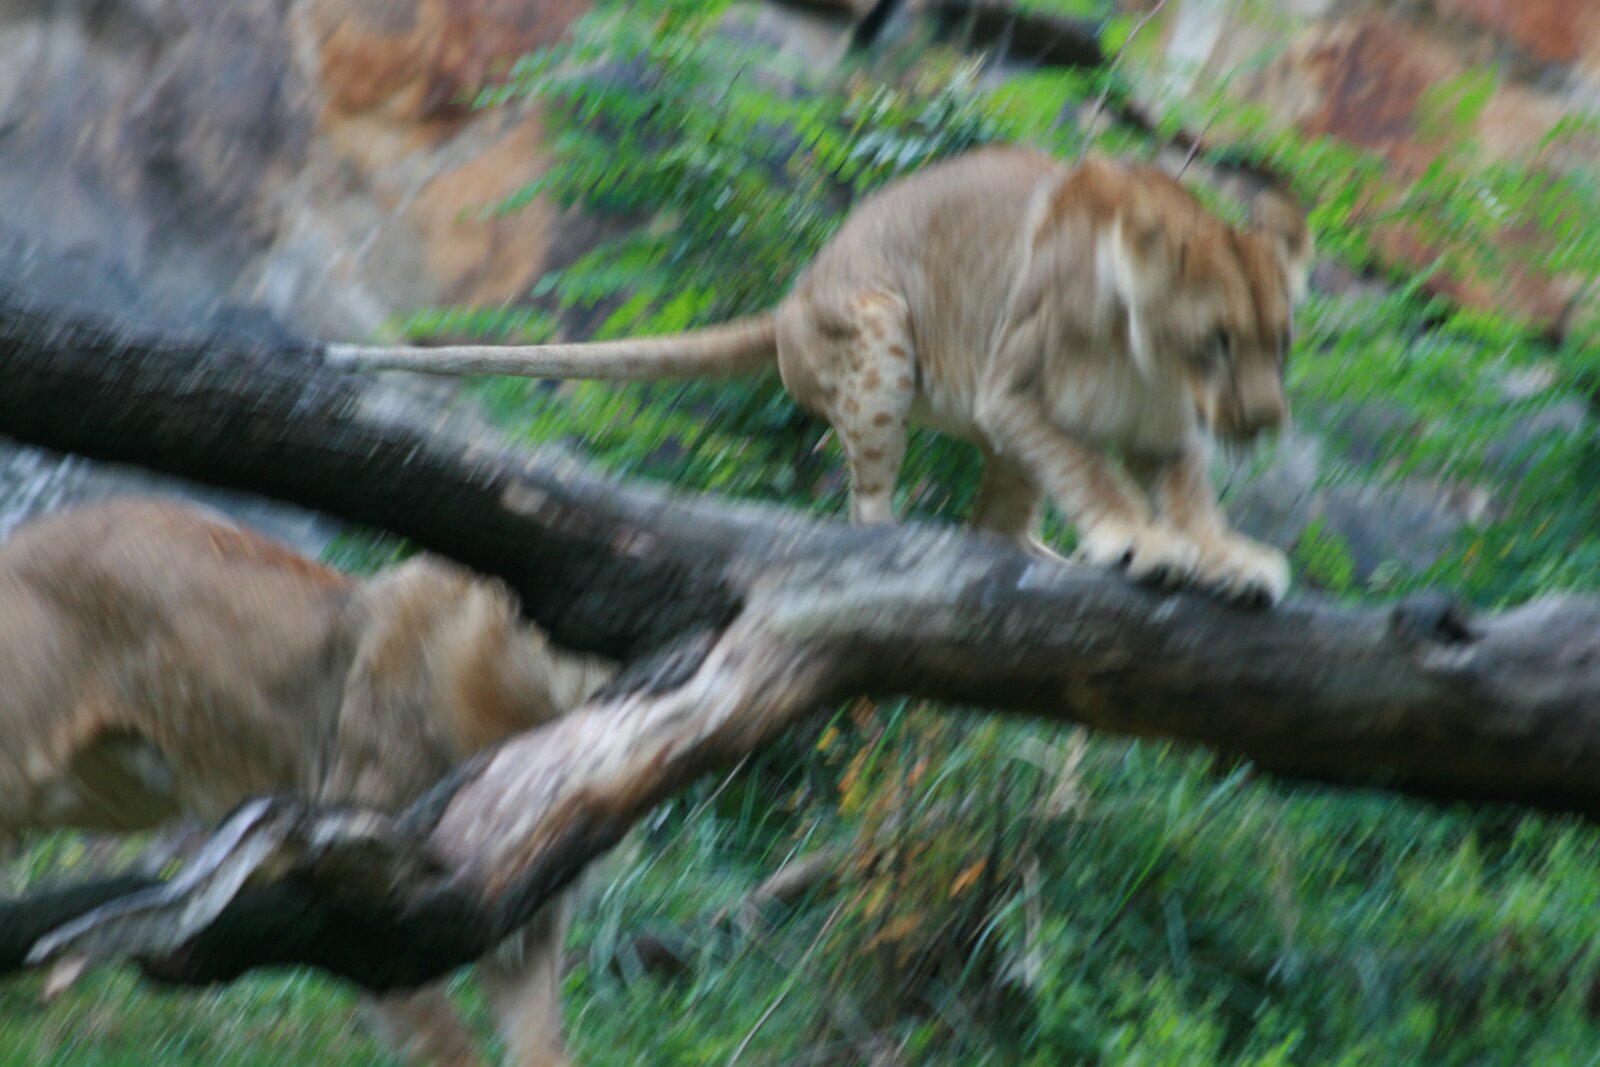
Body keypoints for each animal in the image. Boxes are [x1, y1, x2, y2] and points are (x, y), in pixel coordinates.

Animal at [326, 148, 1312, 606]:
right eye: (1217, 340)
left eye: (1281, 342)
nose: (1266, 421)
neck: (1147, 363)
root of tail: (790, 300)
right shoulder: (1013, 388)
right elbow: (1092, 469)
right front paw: (1139, 541)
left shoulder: (1165, 429)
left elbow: (1191, 497)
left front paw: (1229, 558)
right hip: (881, 326)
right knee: (866, 502)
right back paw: (895, 536)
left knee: (994, 521)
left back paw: (1030, 553)